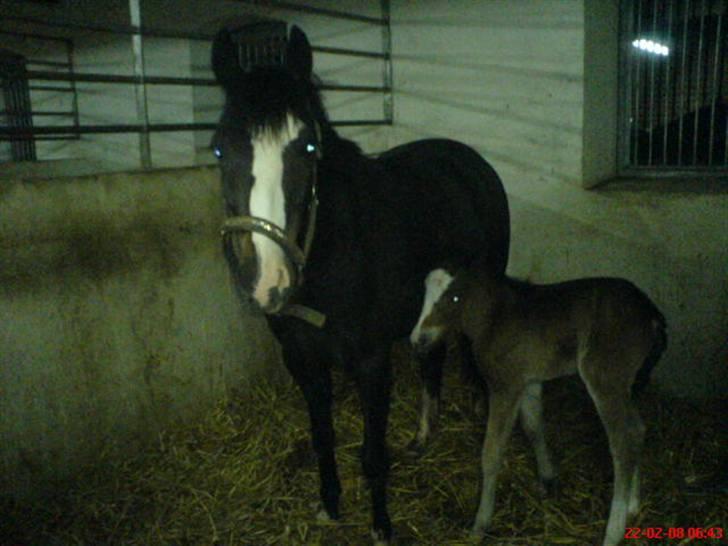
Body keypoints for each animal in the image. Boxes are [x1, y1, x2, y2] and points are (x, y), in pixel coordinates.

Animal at [209, 24, 506, 540]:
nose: (269, 282)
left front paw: (381, 527)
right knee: (432, 360)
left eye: (308, 148)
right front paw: (330, 504)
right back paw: (423, 437)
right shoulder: (301, 360)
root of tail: (469, 160)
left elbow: (371, 455)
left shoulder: (372, 362)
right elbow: (323, 436)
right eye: (220, 148)